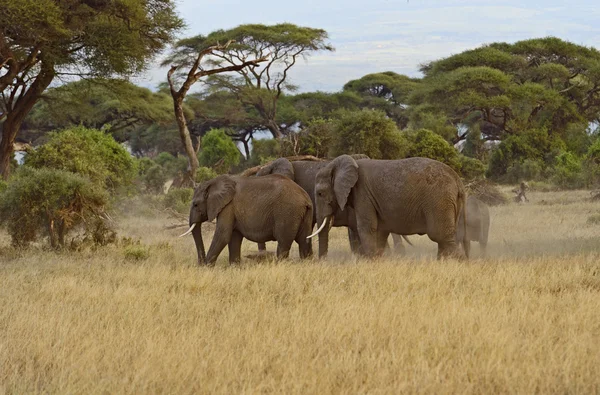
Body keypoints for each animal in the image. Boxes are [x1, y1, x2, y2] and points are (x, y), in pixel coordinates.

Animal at [179, 174, 314, 264]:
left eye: (195, 204)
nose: (200, 263)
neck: (213, 182)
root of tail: (305, 198)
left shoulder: (228, 206)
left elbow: (223, 235)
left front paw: (206, 267)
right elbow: (234, 237)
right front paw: (234, 267)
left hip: (287, 212)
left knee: (284, 242)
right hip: (304, 213)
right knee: (304, 241)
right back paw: (306, 263)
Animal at [312, 156, 472, 262]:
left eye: (320, 193)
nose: (322, 262)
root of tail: (458, 180)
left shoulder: (363, 194)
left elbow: (367, 227)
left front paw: (370, 262)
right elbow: (380, 231)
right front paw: (378, 261)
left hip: (438, 200)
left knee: (440, 235)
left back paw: (459, 263)